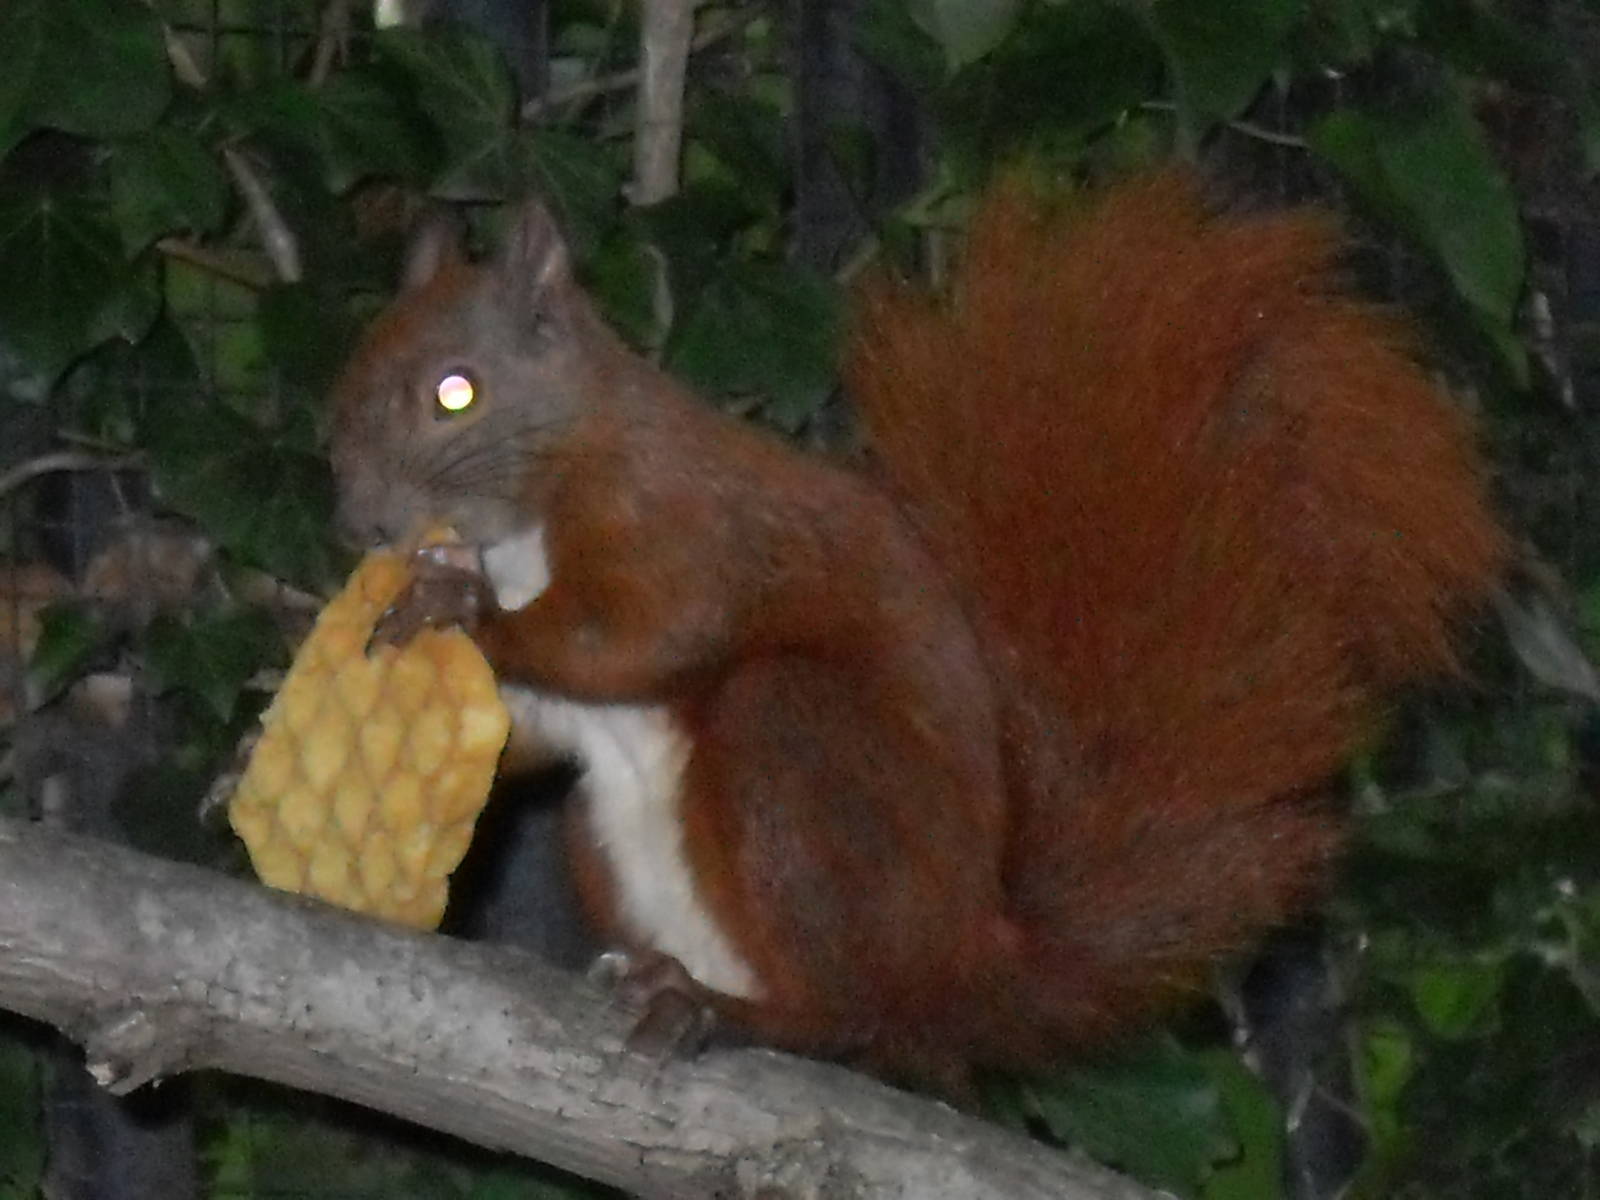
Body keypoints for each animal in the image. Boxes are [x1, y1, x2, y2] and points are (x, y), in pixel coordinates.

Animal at [328, 171, 1508, 1093]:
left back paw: (735, 1014)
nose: (363, 518)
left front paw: (465, 613)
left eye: (456, 392)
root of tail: (968, 965)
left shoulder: (671, 519)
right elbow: (526, 730)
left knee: (862, 1019)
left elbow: (645, 631)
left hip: (800, 756)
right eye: (344, 383)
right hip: (611, 841)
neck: (537, 496)